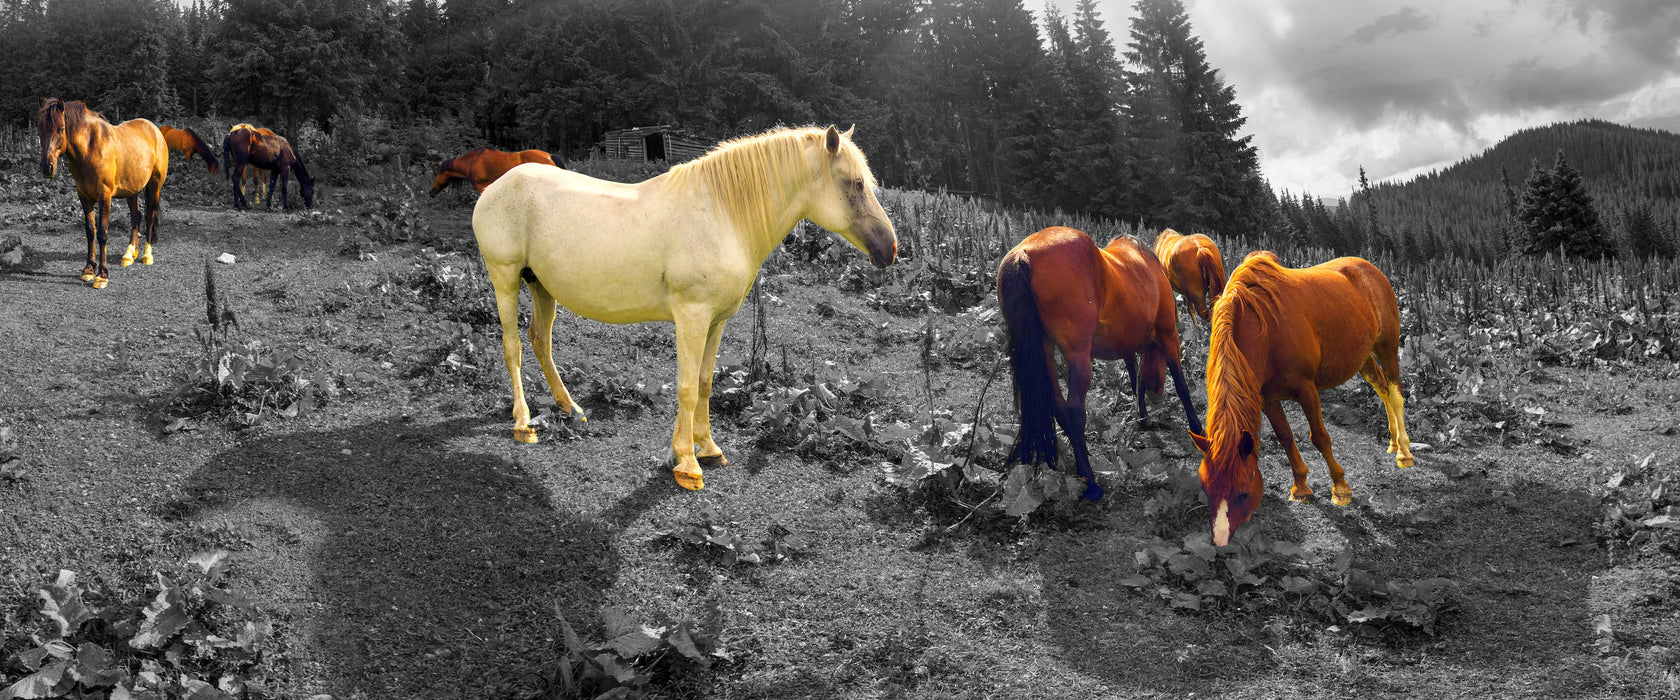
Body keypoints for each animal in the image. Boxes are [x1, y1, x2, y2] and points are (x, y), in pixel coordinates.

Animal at [37, 96, 170, 287]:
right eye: (40, 128)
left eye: (60, 129)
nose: (47, 167)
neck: (90, 148)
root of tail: (155, 130)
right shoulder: (84, 197)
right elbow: (90, 231)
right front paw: (88, 269)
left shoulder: (104, 197)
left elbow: (102, 233)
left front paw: (102, 275)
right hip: (132, 191)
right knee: (136, 217)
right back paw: (129, 255)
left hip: (154, 186)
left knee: (150, 216)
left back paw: (147, 255)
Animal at [467, 122, 900, 486]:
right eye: (856, 183)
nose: (890, 249)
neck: (723, 215)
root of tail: (498, 186)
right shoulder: (692, 316)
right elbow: (688, 387)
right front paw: (687, 464)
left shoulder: (716, 320)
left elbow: (706, 383)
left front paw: (707, 448)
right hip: (505, 277)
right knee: (513, 346)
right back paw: (523, 423)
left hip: (541, 285)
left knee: (541, 340)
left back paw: (570, 408)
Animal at [994, 226, 1209, 500]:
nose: (1157, 392)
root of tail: (1023, 254)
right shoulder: (1169, 334)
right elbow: (1181, 385)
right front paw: (1197, 428)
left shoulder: (1127, 344)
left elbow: (1135, 379)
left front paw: (1142, 417)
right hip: (1077, 355)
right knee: (1074, 410)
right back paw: (1091, 481)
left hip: (1044, 348)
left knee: (1057, 405)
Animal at [1189, 251, 1411, 543]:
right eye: (1206, 488)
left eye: (1243, 493)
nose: (1220, 540)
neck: (1265, 330)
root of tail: (1370, 269)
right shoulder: (1267, 398)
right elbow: (1285, 437)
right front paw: (1301, 487)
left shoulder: (1307, 390)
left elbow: (1319, 437)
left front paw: (1340, 488)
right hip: (1363, 357)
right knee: (1382, 388)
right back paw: (1393, 442)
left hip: (1387, 345)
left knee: (1395, 394)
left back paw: (1404, 453)